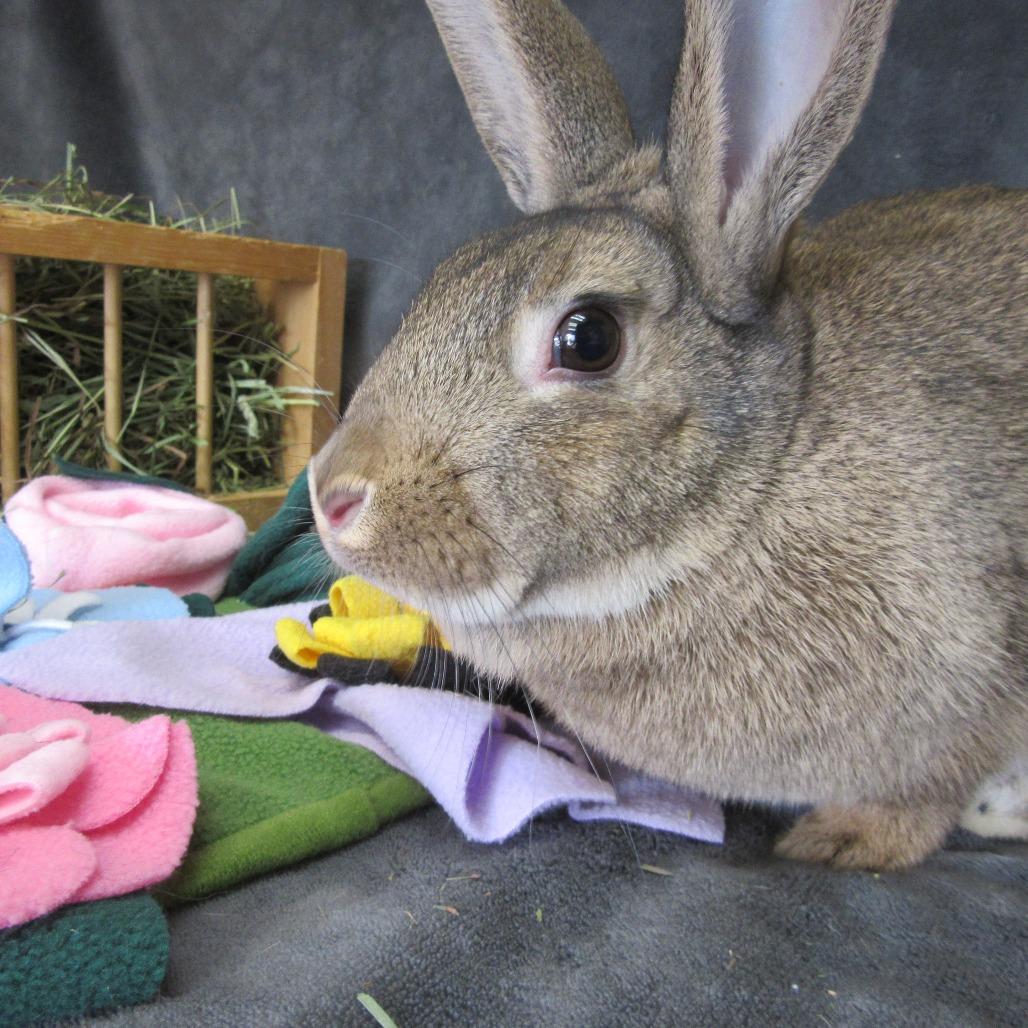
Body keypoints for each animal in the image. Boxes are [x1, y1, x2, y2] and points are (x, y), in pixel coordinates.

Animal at [309, 0, 1027, 870]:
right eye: (441, 286)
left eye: (588, 338)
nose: (331, 496)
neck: (761, 481)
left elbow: (924, 790)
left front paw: (841, 843)